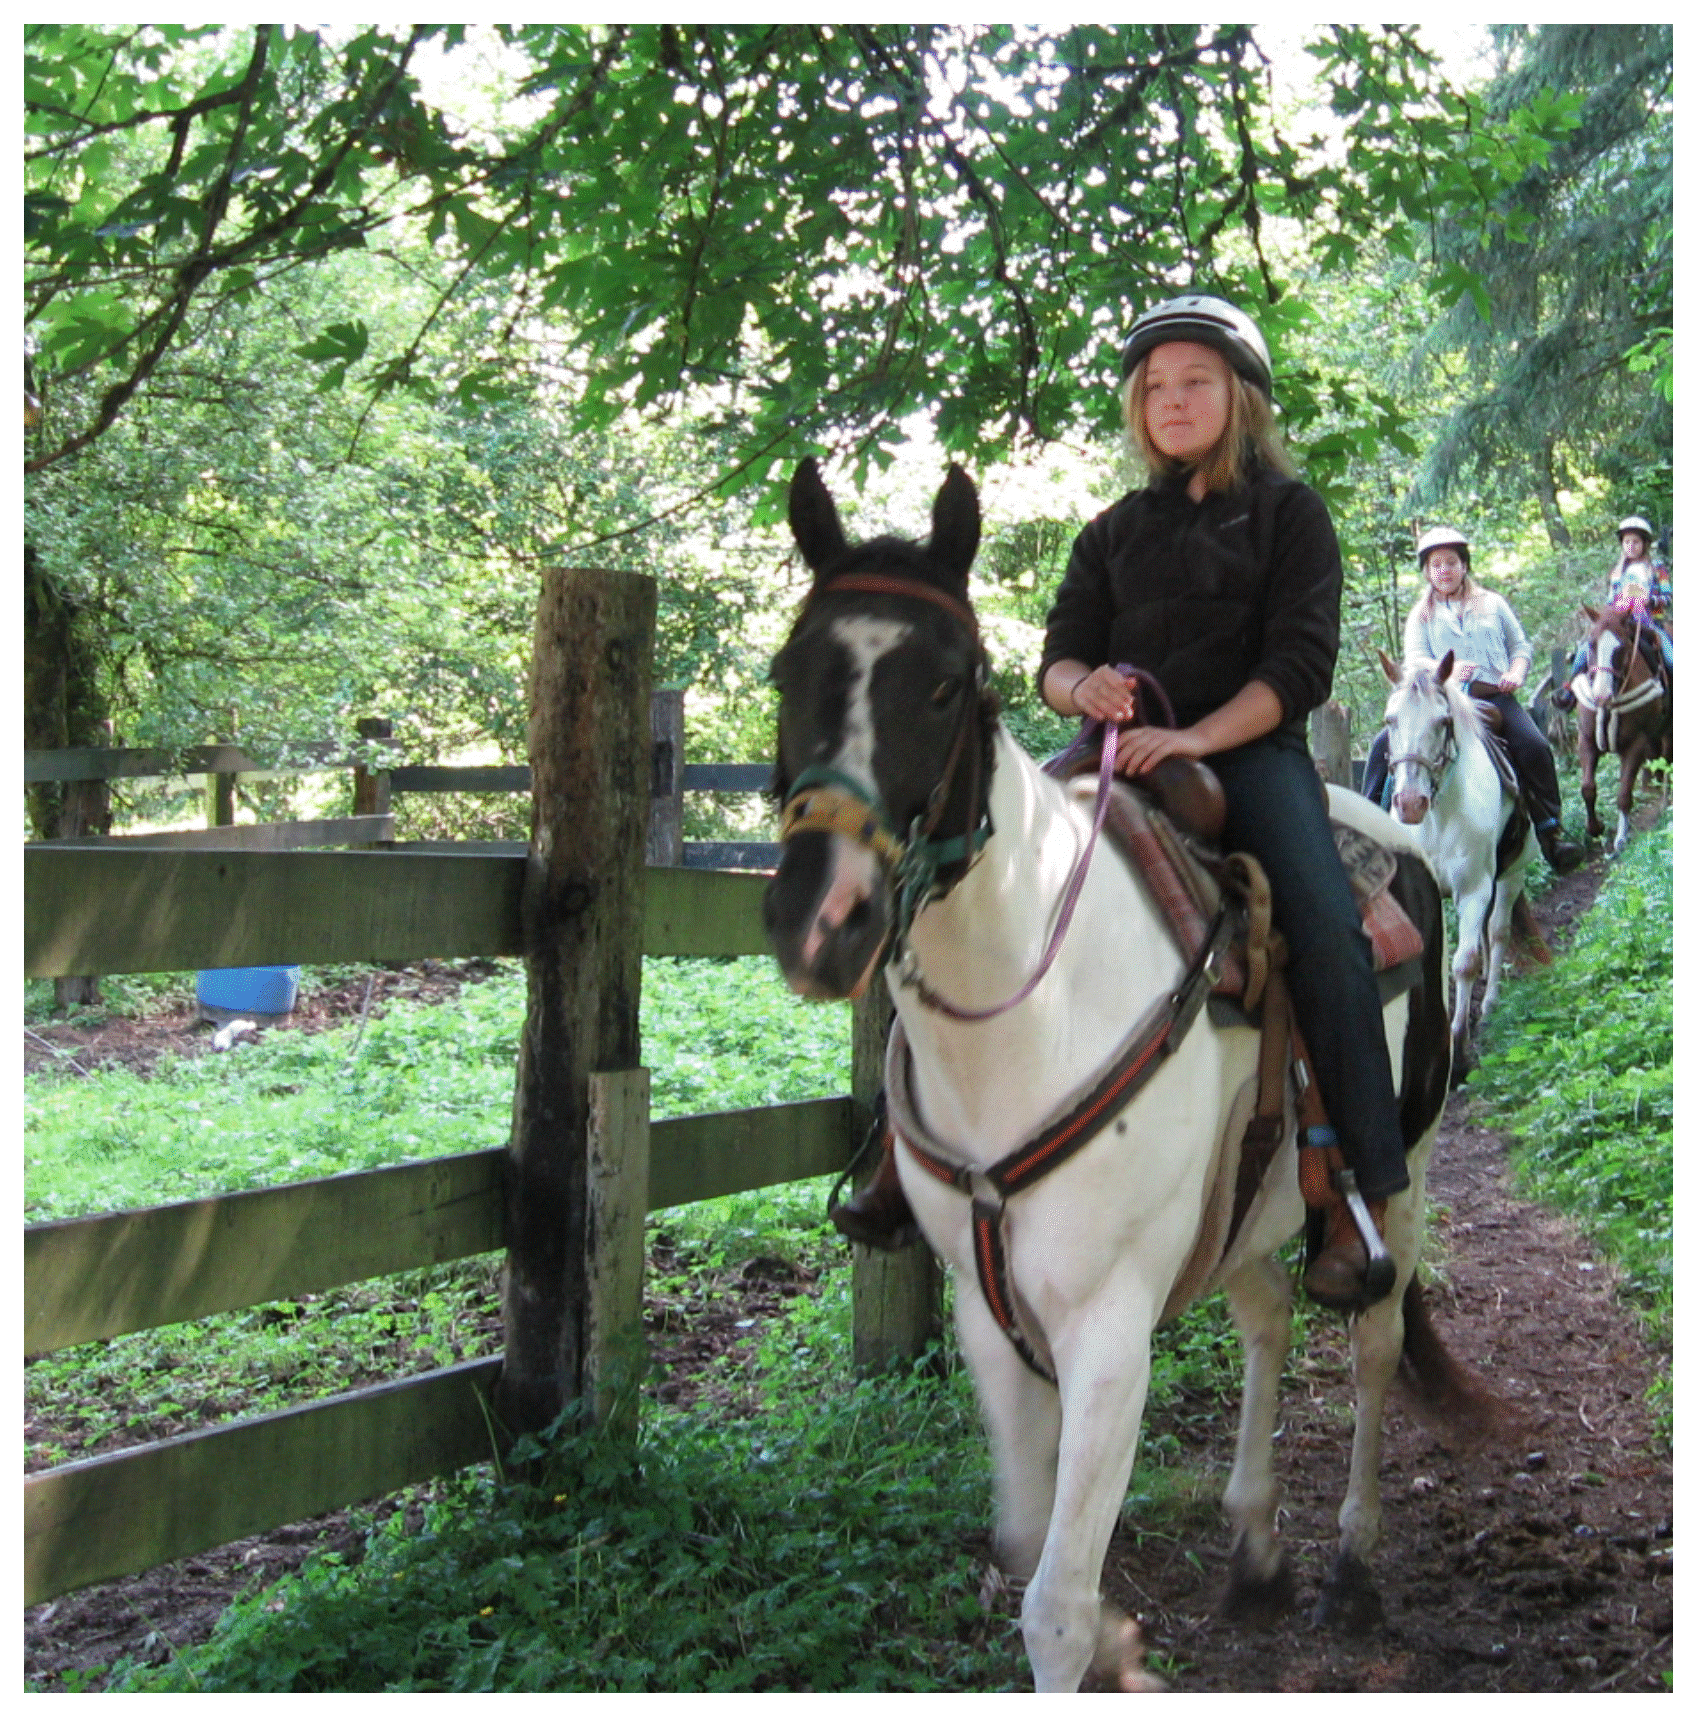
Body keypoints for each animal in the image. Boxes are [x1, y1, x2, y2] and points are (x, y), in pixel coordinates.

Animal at [769, 463, 1470, 1697]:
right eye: (783, 675)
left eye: (943, 686)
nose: (820, 920)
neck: (1031, 1014)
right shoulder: (990, 1317)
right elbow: (1025, 1536)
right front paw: (1122, 1637)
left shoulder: (1106, 1331)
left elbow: (1052, 1605)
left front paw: (1095, 1640)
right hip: (1247, 1203)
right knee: (1265, 1312)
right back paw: (1254, 1545)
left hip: (1403, 1174)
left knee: (1375, 1340)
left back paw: (1350, 1564)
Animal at [1387, 649, 1545, 1078]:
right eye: (1390, 721)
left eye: (1442, 722)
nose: (1410, 804)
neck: (1439, 817)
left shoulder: (1475, 889)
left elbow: (1463, 963)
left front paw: (1457, 1051)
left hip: (1511, 876)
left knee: (1498, 932)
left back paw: (1489, 1005)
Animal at [1573, 604, 1676, 859]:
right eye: (1591, 644)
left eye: (1621, 647)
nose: (1601, 696)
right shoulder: (1586, 741)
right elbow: (1587, 788)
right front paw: (1595, 828)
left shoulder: (1635, 745)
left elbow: (1622, 794)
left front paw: (1620, 839)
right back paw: (1650, 786)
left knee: (1667, 758)